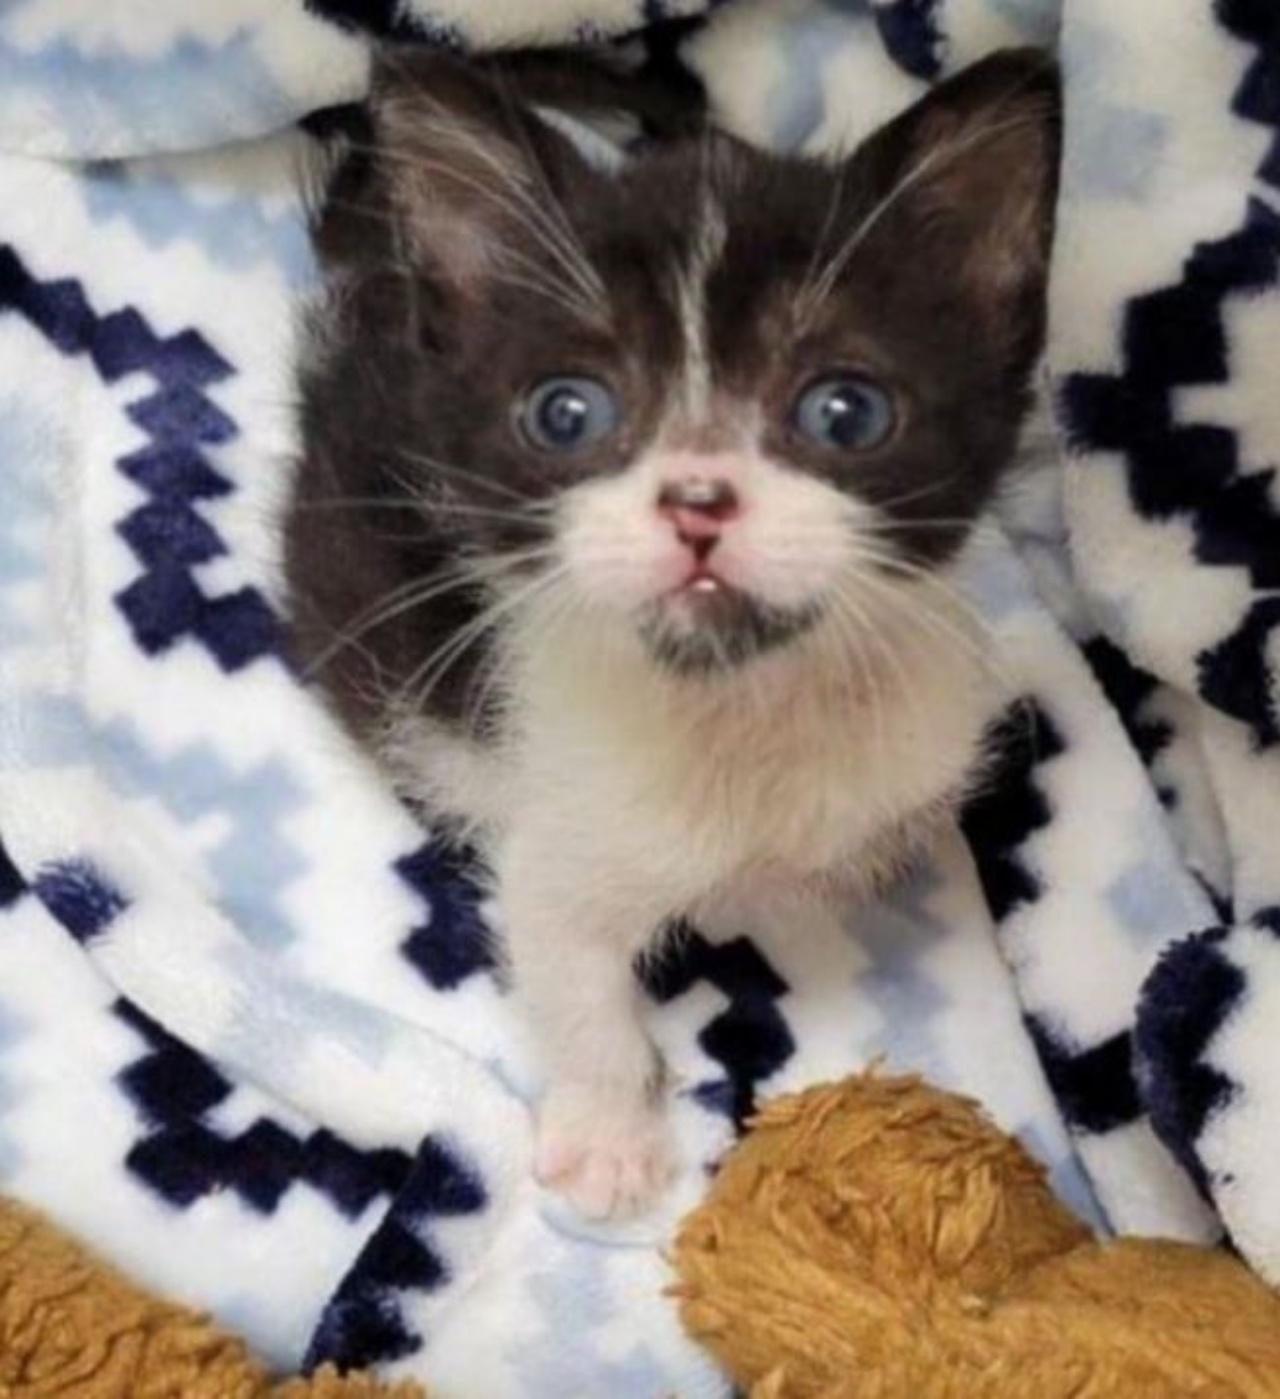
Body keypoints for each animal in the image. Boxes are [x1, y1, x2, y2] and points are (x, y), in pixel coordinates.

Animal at [290, 49, 1063, 1219]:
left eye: (845, 412)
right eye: (566, 412)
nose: (698, 500)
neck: (738, 704)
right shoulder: (553, 811)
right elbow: (568, 966)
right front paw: (610, 1139)